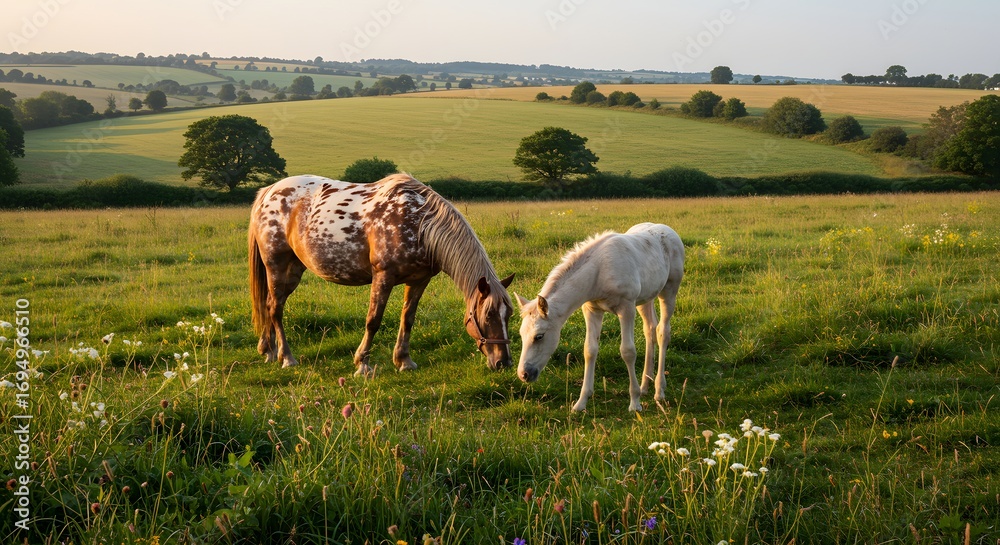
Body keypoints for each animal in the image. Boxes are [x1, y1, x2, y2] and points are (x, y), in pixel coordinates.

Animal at [248, 173, 515, 375]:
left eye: (509, 315)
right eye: (487, 315)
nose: (504, 362)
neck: (418, 224)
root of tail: (268, 192)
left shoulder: (419, 281)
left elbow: (408, 319)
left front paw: (404, 361)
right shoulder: (383, 277)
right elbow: (373, 320)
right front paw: (362, 364)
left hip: (293, 270)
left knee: (270, 304)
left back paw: (268, 351)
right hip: (276, 266)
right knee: (275, 308)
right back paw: (287, 357)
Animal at [515, 223, 684, 411]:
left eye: (539, 336)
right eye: (521, 335)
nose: (524, 374)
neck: (599, 272)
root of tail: (667, 229)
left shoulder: (626, 308)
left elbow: (628, 351)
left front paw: (634, 403)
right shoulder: (592, 309)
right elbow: (590, 350)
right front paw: (581, 403)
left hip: (669, 290)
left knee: (663, 332)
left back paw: (659, 390)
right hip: (645, 298)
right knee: (650, 329)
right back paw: (645, 386)